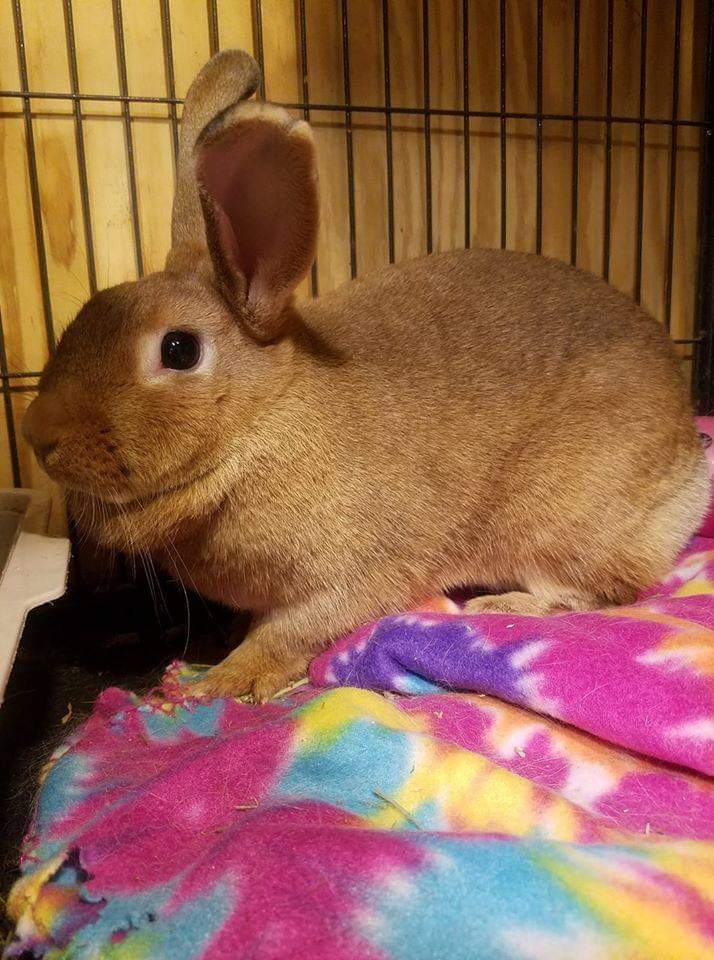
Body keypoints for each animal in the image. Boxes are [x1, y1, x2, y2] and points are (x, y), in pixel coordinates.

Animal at [22, 49, 709, 702]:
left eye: (178, 349)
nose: (36, 435)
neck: (262, 422)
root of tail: (686, 473)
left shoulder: (350, 576)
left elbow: (289, 633)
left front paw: (218, 681)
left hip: (558, 518)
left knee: (599, 589)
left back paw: (502, 604)